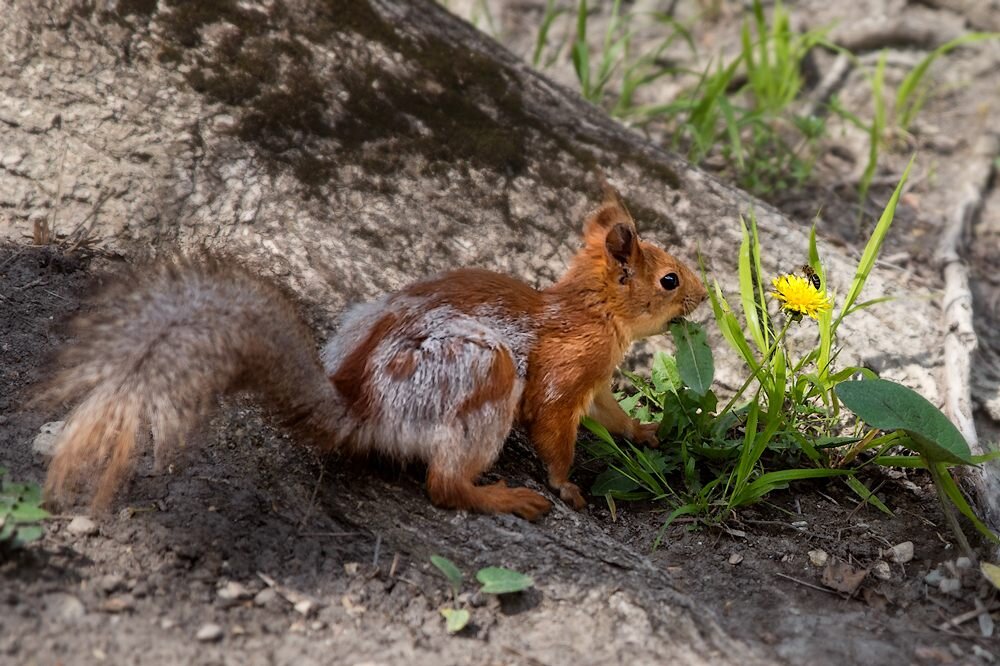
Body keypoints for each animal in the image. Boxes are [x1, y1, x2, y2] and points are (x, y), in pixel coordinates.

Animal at [43, 185, 708, 520]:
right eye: (670, 279)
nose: (704, 297)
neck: (593, 309)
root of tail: (363, 406)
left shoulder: (596, 382)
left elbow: (611, 415)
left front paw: (647, 432)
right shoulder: (566, 372)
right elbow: (553, 429)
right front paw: (567, 488)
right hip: (481, 374)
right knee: (444, 486)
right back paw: (508, 498)